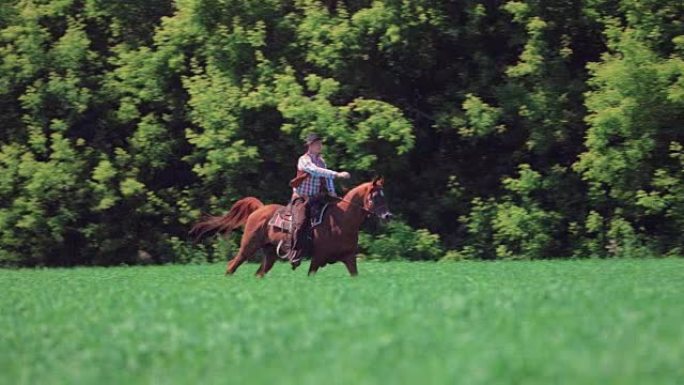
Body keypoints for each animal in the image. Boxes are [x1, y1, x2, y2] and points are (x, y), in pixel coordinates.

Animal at [188, 177, 390, 276]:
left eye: (384, 195)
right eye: (375, 196)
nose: (388, 216)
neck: (341, 221)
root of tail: (259, 209)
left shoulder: (349, 258)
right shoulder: (317, 258)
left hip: (269, 254)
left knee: (259, 273)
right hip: (248, 247)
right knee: (231, 266)